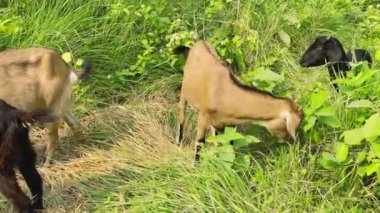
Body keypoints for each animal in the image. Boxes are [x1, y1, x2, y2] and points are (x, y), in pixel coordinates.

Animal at [174, 40, 302, 162]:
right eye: (292, 124)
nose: (290, 140)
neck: (225, 93)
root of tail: (197, 45)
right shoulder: (203, 117)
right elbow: (199, 144)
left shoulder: (228, 123)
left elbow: (228, 142)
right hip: (184, 93)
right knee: (181, 117)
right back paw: (178, 143)